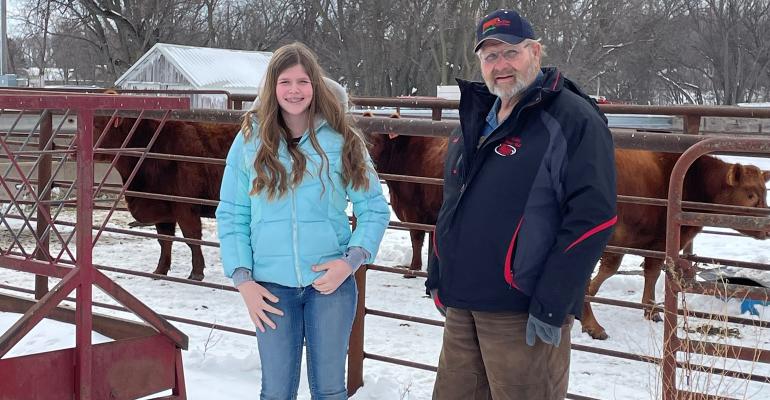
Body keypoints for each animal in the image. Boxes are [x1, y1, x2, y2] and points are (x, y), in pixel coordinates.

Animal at [90, 115, 236, 282]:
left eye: (97, 124)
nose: (75, 149)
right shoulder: (162, 209)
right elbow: (165, 240)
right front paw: (160, 271)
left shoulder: (185, 207)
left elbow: (191, 238)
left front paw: (196, 273)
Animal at [584, 148, 768, 340]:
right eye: (750, 195)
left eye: (765, 193)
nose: (767, 228)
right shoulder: (633, 241)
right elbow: (613, 271)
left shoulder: (652, 245)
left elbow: (648, 274)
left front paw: (651, 311)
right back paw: (594, 327)